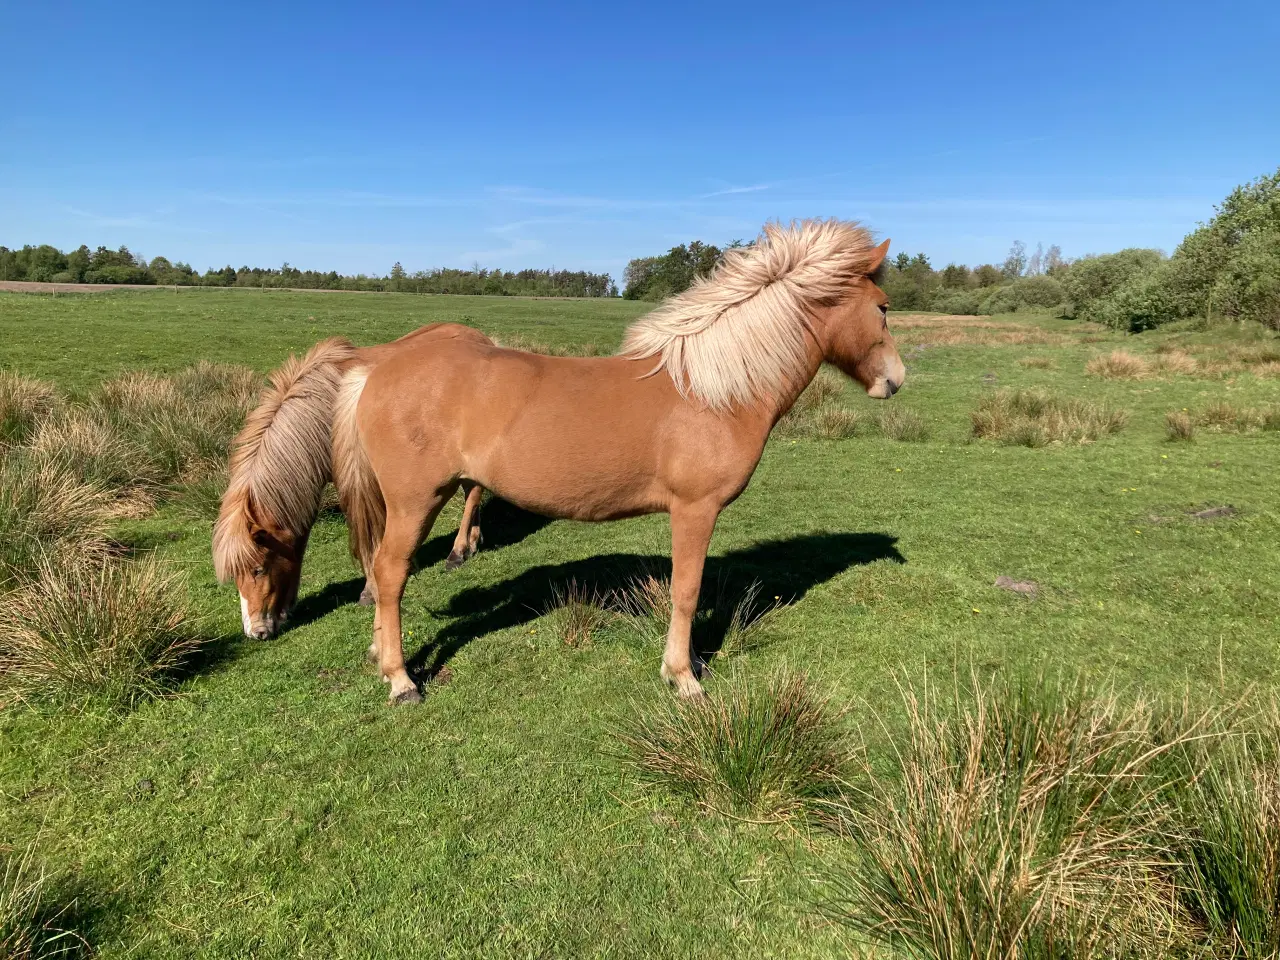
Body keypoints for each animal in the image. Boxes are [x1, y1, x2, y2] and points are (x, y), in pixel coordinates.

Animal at [212, 323, 491, 640]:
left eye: (258, 569)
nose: (255, 631)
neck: (326, 411)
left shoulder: (361, 484)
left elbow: (369, 536)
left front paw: (370, 591)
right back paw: (473, 540)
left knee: (473, 493)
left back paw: (458, 551)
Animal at [335, 217, 906, 701]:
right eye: (882, 306)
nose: (896, 379)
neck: (711, 391)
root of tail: (376, 369)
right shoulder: (695, 510)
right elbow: (686, 590)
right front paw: (682, 677)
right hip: (416, 501)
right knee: (390, 572)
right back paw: (400, 679)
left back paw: (381, 654)